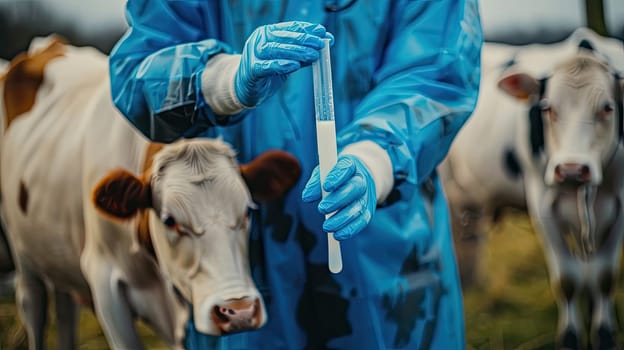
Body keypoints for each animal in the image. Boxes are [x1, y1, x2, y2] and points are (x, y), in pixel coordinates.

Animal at [0, 37, 302, 350]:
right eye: (170, 220)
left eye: (247, 212)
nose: (239, 311)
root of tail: (48, 44)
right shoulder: (104, 283)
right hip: (21, 252)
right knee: (33, 304)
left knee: (65, 311)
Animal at [438, 29, 624, 348]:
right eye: (546, 107)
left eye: (608, 108)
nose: (571, 169)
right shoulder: (542, 203)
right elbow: (567, 279)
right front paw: (570, 338)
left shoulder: (620, 204)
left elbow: (603, 277)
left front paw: (604, 335)